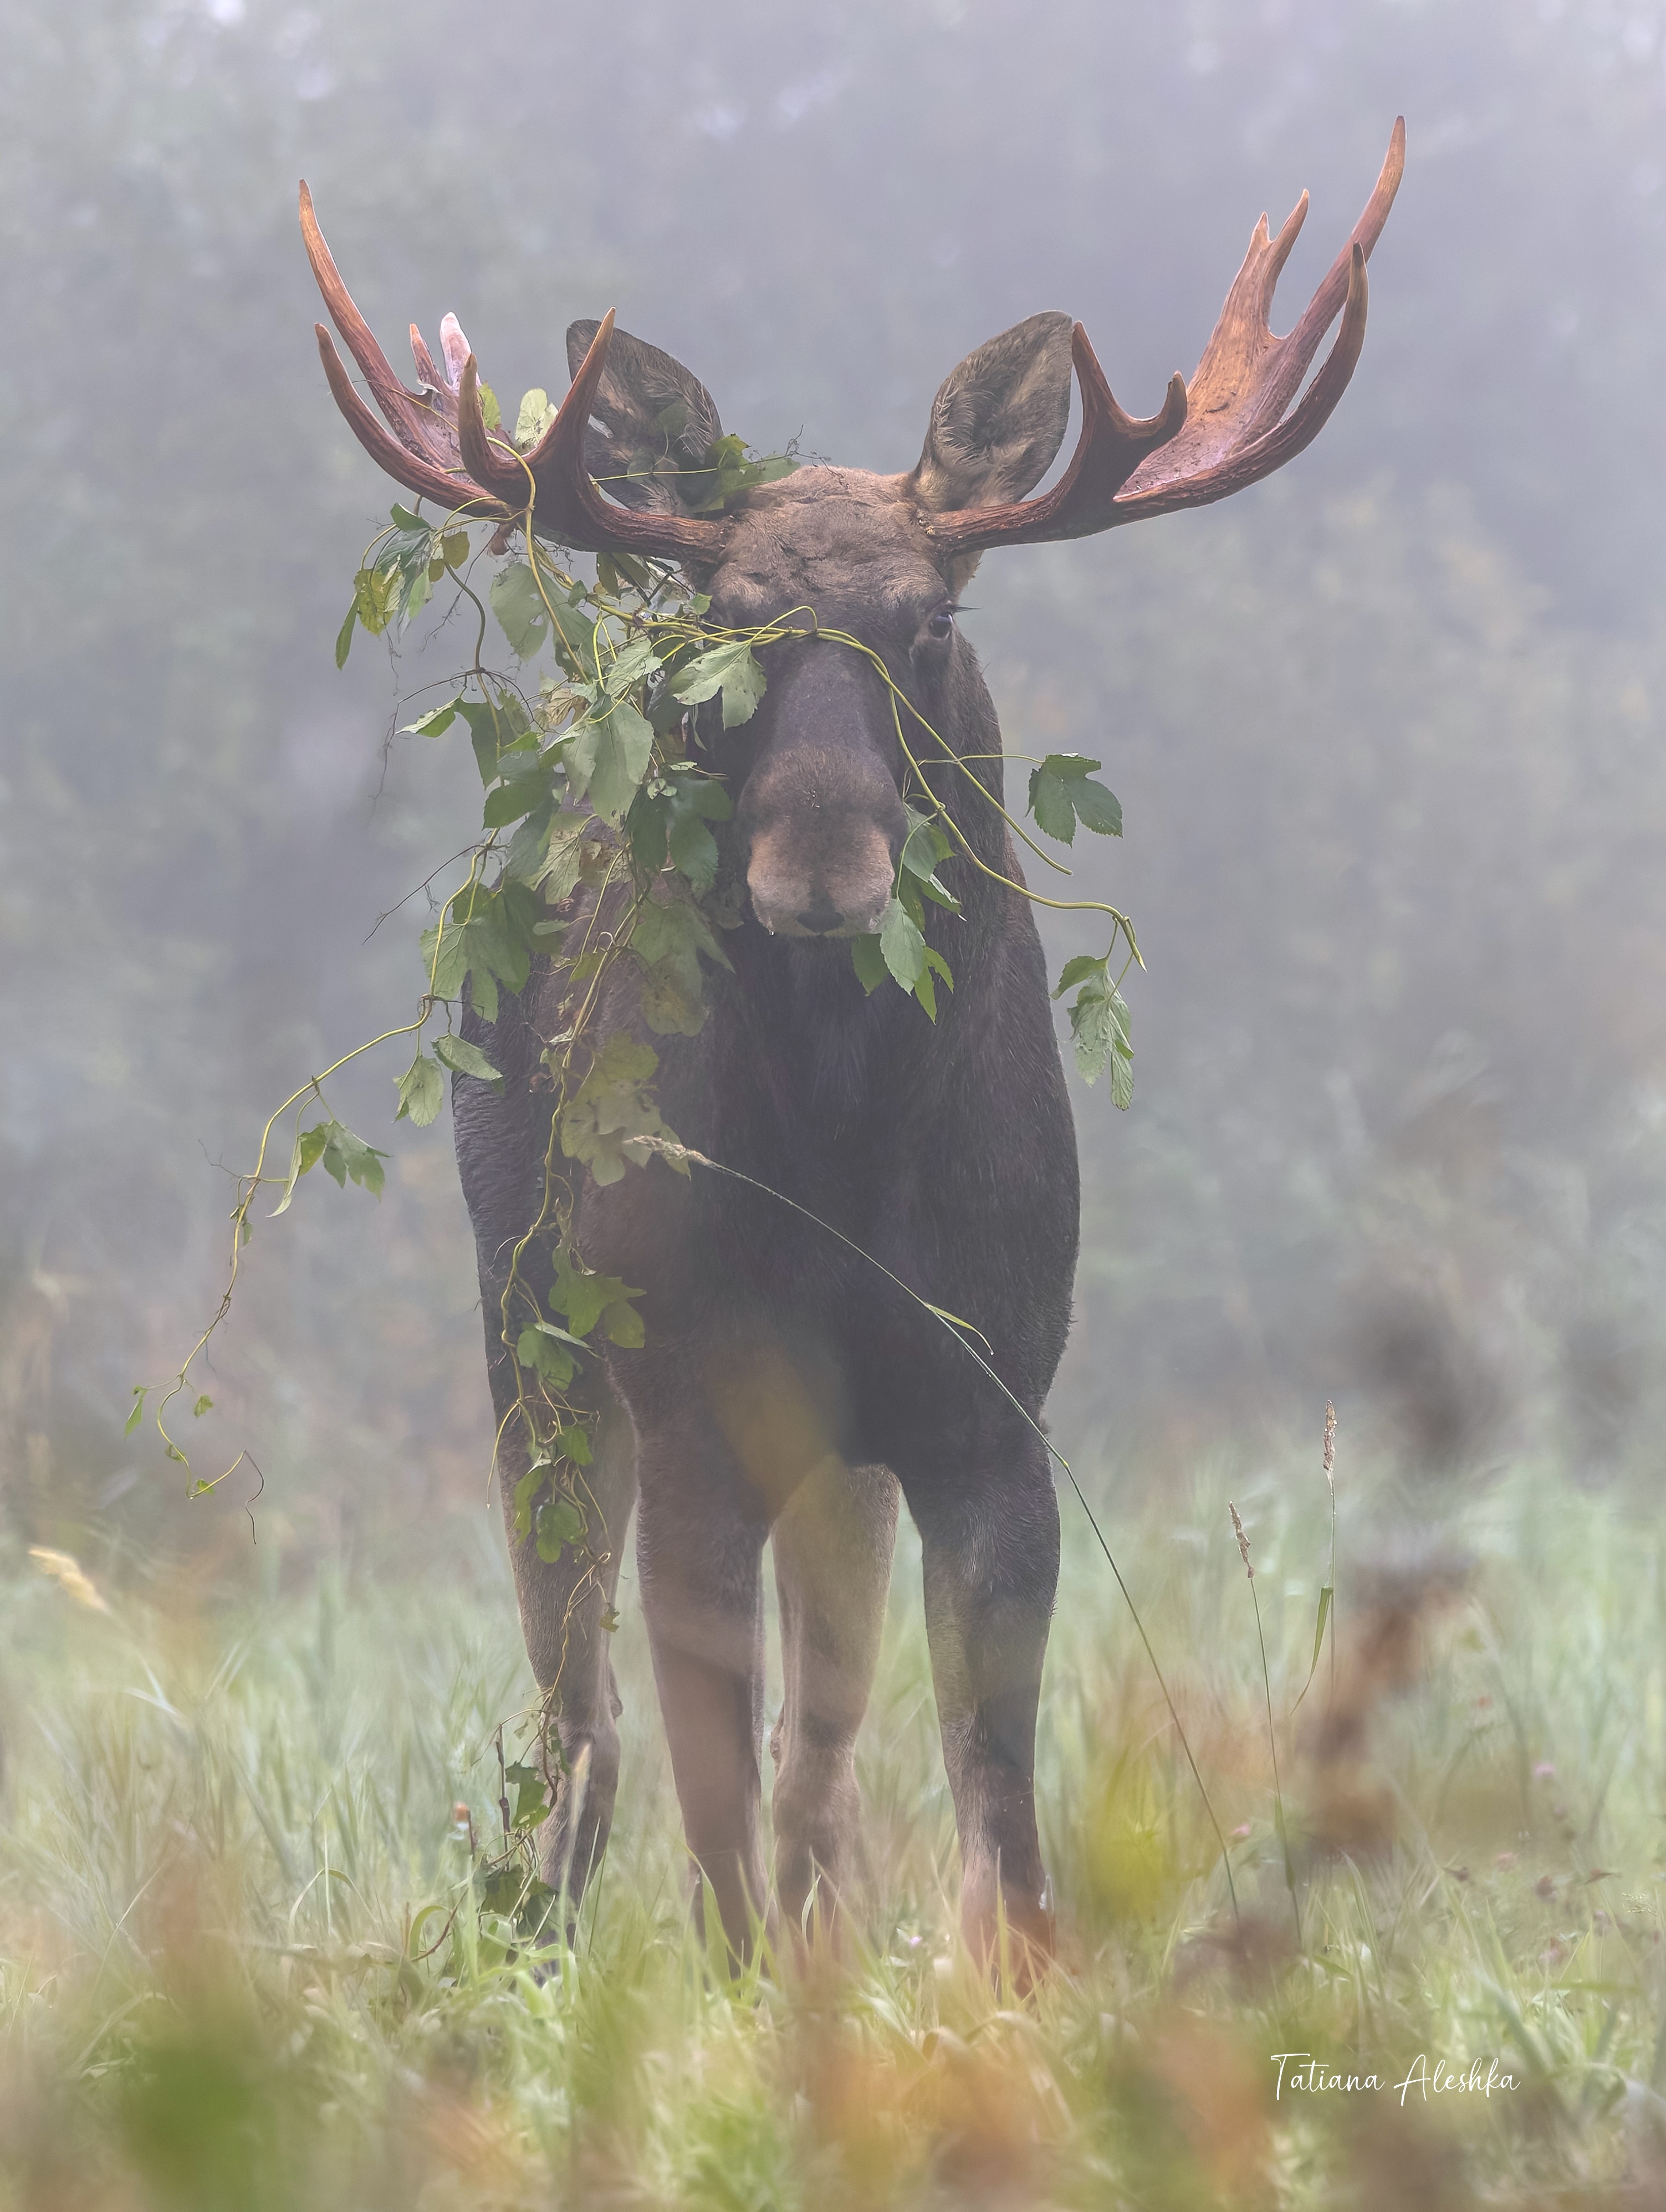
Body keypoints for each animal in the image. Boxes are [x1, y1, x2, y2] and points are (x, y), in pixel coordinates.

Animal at [303, 121, 1407, 1964]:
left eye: (933, 624)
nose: (820, 863)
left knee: (806, 1750)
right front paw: (745, 2002)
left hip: (828, 1459)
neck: (846, 1151)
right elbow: (710, 1816)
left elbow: (994, 1832)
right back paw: (533, 1940)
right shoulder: (689, 1389)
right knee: (580, 1715)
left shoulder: (991, 1399)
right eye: (716, 631)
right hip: (533, 1328)